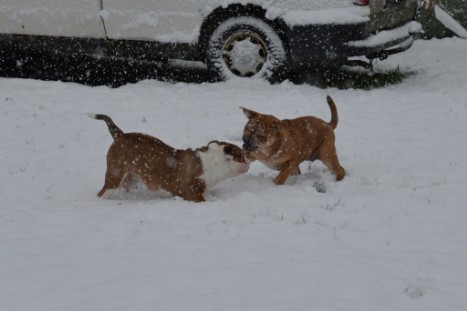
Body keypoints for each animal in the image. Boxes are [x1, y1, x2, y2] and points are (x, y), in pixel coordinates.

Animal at [88, 114, 249, 202]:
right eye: (241, 156)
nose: (248, 161)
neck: (215, 162)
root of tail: (120, 135)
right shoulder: (191, 192)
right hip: (114, 176)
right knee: (102, 192)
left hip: (129, 178)